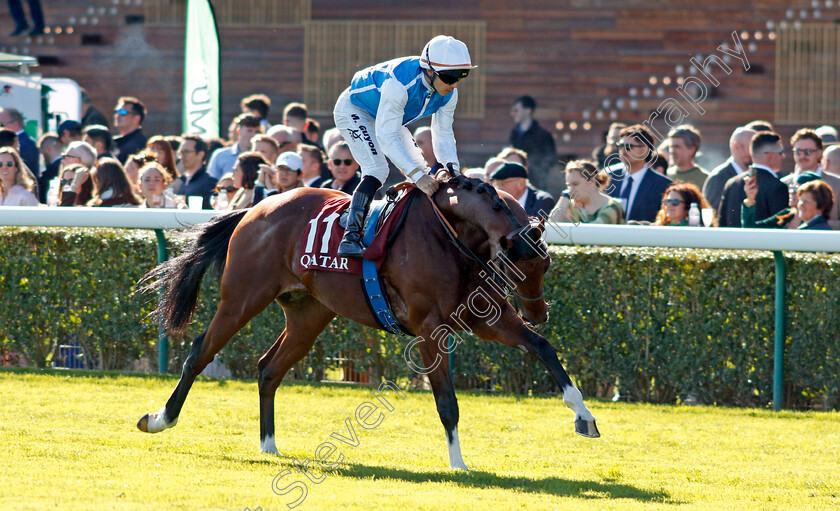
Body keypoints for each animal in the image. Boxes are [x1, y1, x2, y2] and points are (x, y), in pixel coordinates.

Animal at [138, 177, 596, 472]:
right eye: (524, 267)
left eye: (546, 265)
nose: (540, 312)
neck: (451, 235)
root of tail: (256, 208)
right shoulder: (430, 329)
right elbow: (447, 401)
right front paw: (458, 463)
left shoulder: (488, 318)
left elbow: (543, 347)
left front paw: (584, 416)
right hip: (242, 298)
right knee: (199, 354)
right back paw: (160, 418)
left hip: (309, 313)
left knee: (269, 369)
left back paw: (269, 445)